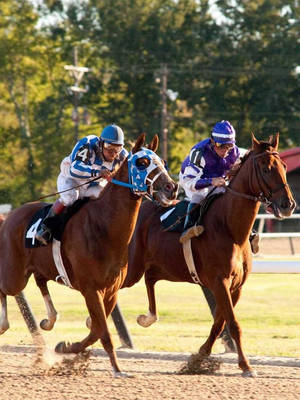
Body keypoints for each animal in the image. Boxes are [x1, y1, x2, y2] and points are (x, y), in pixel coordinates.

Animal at [0, 134, 178, 376]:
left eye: (162, 162)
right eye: (142, 162)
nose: (172, 187)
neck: (104, 227)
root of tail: (10, 216)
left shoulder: (111, 290)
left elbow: (96, 329)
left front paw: (67, 348)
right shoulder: (91, 289)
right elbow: (101, 330)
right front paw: (115, 368)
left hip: (39, 267)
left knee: (40, 281)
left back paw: (50, 319)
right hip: (14, 275)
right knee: (6, 288)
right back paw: (4, 324)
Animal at [123, 134, 296, 376]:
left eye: (284, 166)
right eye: (265, 168)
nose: (288, 205)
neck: (230, 227)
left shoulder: (236, 286)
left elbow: (220, 322)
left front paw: (198, 357)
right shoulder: (219, 281)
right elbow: (233, 323)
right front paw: (246, 365)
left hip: (159, 267)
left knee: (149, 281)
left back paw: (148, 317)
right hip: (131, 268)